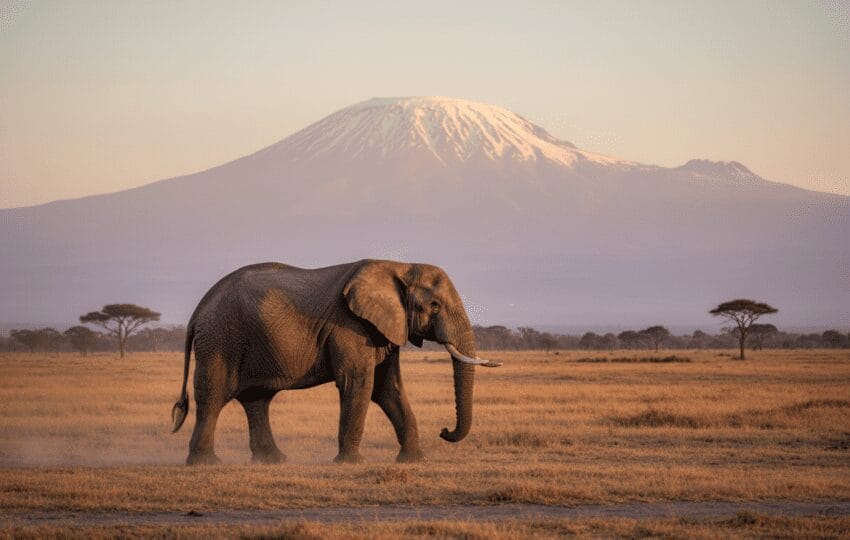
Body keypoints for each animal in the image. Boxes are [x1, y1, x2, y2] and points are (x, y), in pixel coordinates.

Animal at [171, 259, 501, 465]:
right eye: (434, 305)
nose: (444, 431)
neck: (399, 266)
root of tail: (200, 308)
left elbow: (387, 388)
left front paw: (415, 461)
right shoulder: (350, 326)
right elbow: (358, 383)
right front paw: (352, 463)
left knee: (257, 399)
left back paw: (274, 461)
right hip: (221, 339)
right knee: (214, 396)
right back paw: (206, 463)